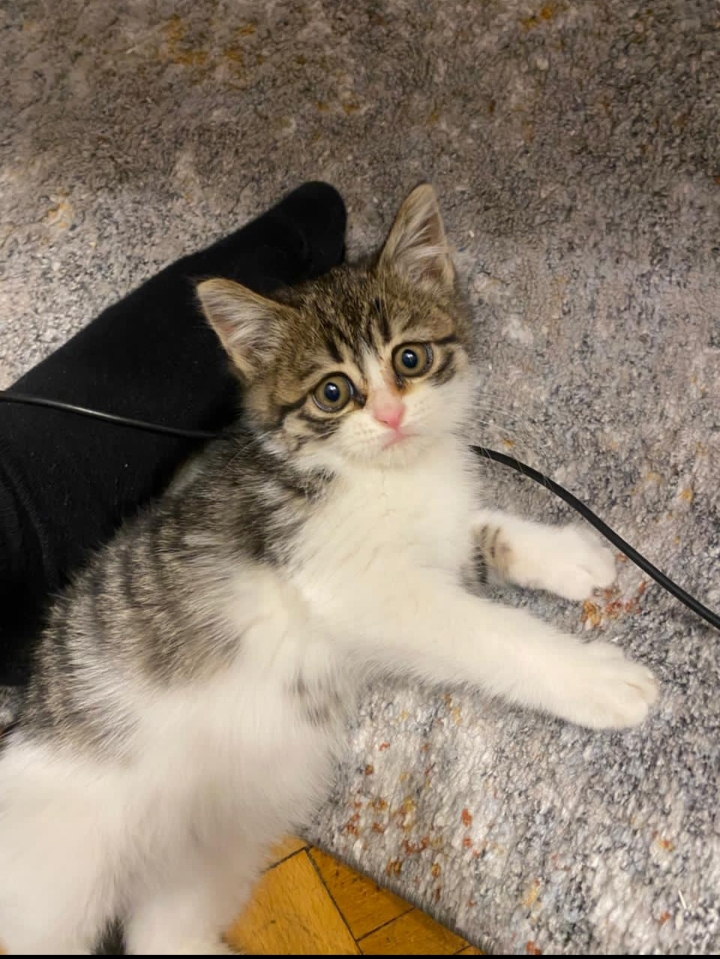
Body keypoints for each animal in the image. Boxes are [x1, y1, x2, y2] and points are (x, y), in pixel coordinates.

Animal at [0, 184, 657, 954]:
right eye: (333, 393)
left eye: (411, 358)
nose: (394, 414)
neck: (377, 472)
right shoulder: (356, 585)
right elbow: (491, 633)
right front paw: (597, 679)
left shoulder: (430, 532)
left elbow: (480, 532)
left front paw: (567, 554)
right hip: (54, 884)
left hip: (201, 861)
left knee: (167, 932)